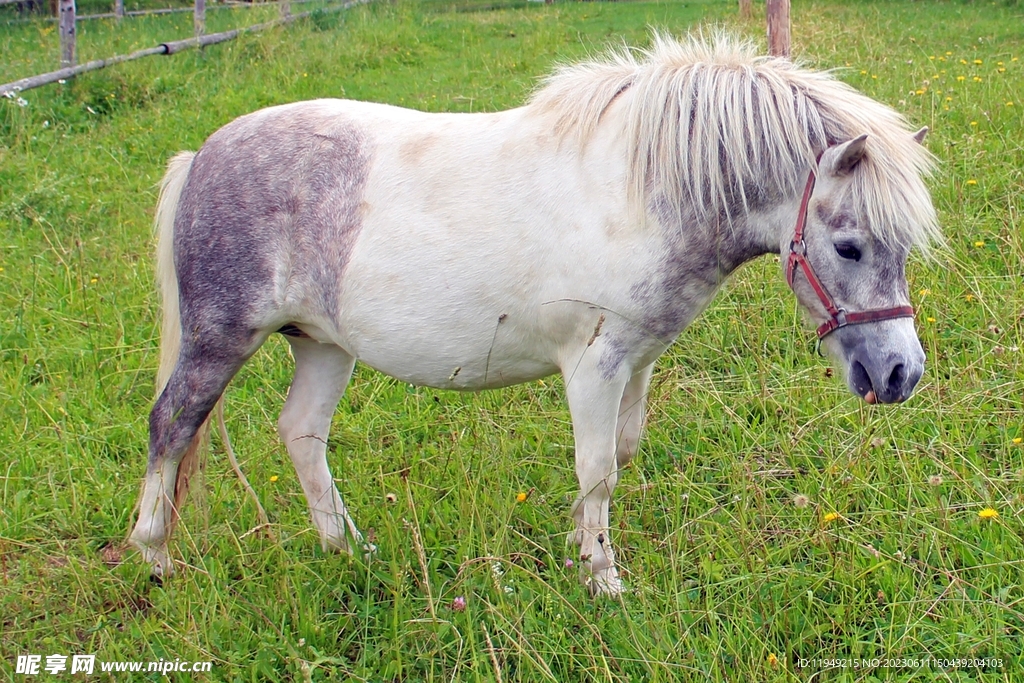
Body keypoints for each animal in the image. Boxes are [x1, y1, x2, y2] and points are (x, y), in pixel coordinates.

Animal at [129, 33, 940, 595]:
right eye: (849, 245)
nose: (901, 373)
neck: (638, 192)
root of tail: (202, 154)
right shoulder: (593, 364)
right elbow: (597, 468)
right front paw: (604, 580)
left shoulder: (637, 362)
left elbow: (617, 456)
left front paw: (582, 548)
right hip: (221, 337)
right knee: (172, 424)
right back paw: (156, 556)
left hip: (323, 343)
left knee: (301, 433)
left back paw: (348, 549)